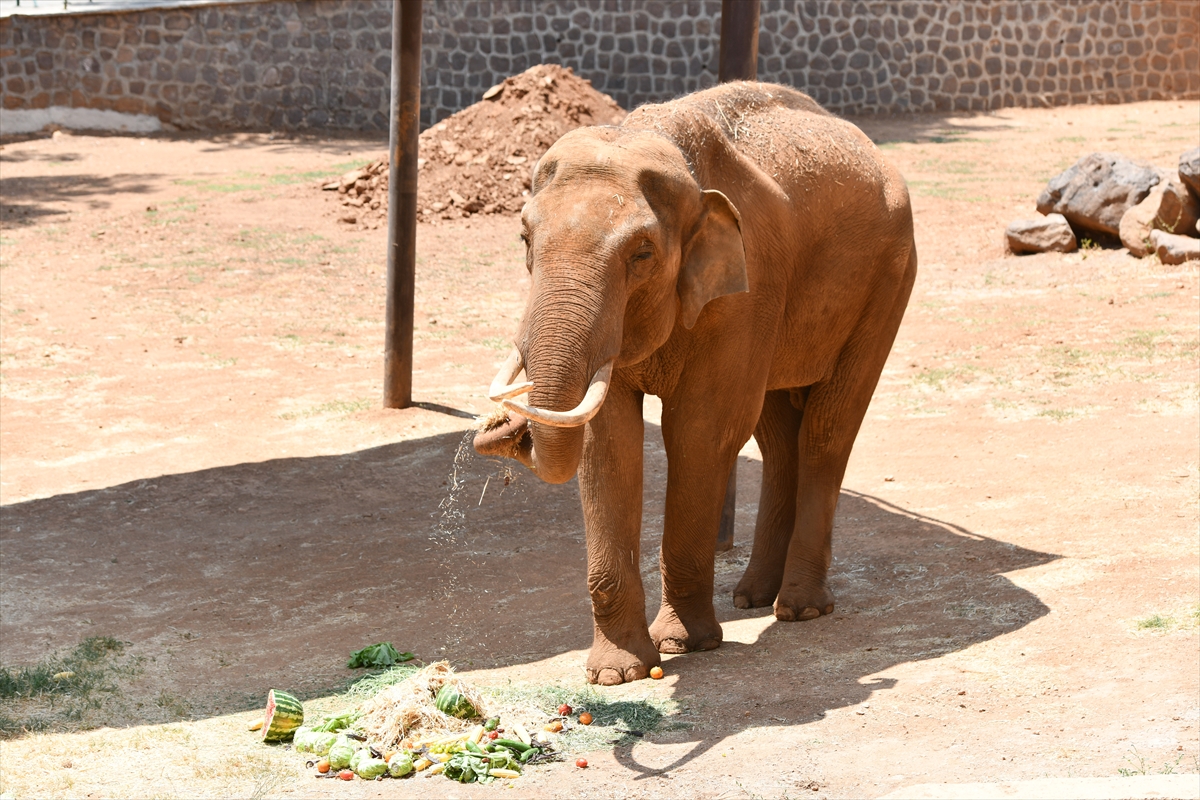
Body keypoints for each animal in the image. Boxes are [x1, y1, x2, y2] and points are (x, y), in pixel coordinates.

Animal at [472, 81, 912, 686]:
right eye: (523, 237)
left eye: (641, 254)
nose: (504, 433)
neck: (653, 138)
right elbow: (609, 442)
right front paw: (618, 674)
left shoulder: (746, 287)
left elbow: (701, 430)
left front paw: (682, 645)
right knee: (777, 435)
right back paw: (752, 597)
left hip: (888, 278)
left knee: (827, 429)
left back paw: (798, 608)